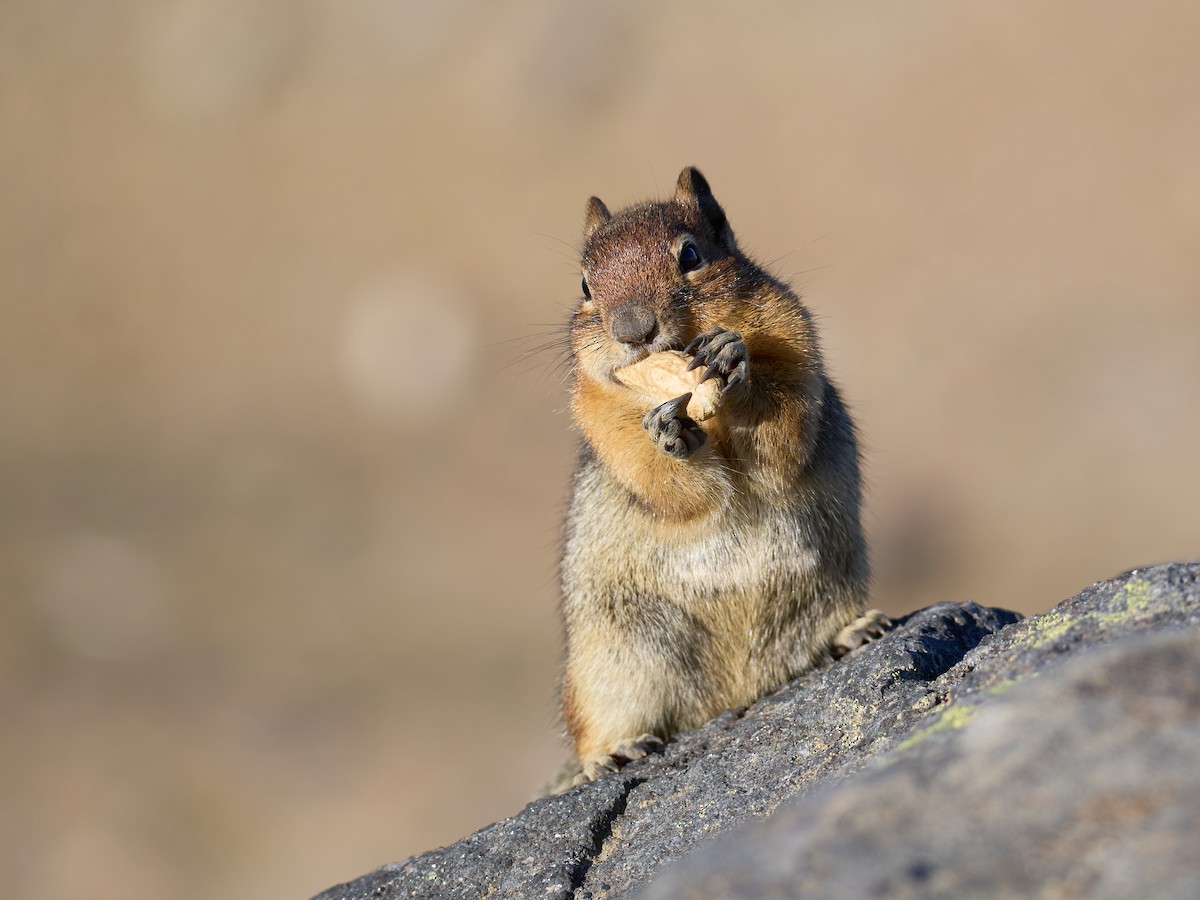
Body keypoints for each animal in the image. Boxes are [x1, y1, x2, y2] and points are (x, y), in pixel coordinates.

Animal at [553, 166, 890, 791]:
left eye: (690, 254)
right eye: (585, 285)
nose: (632, 330)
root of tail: (736, 694)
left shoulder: (791, 339)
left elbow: (782, 428)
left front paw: (730, 357)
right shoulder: (602, 420)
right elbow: (666, 484)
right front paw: (667, 434)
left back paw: (856, 630)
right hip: (610, 664)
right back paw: (613, 754)